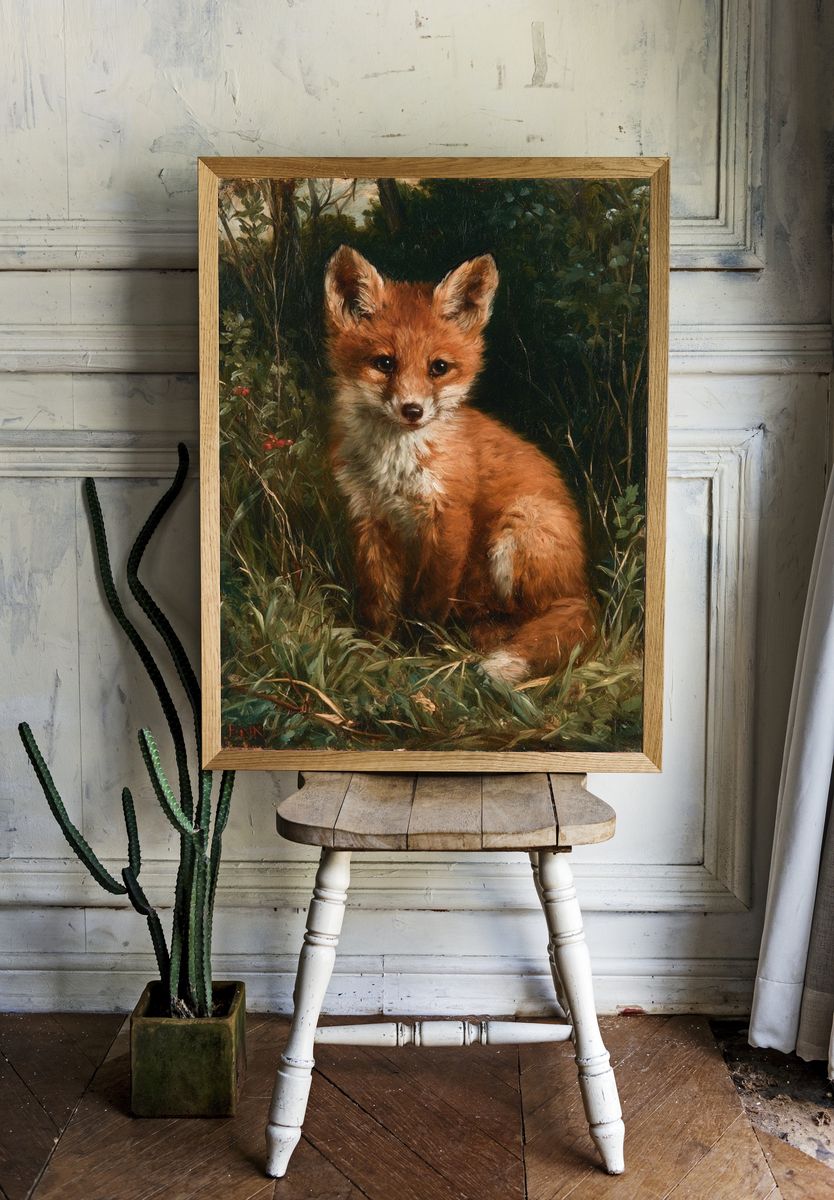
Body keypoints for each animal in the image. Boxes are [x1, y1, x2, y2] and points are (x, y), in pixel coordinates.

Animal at [323, 244, 595, 684]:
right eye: (384, 363)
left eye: (438, 367)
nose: (412, 410)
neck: (395, 467)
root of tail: (583, 588)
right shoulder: (368, 516)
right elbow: (379, 600)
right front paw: (375, 651)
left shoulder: (449, 518)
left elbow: (428, 602)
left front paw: (417, 653)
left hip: (520, 525)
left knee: (534, 614)